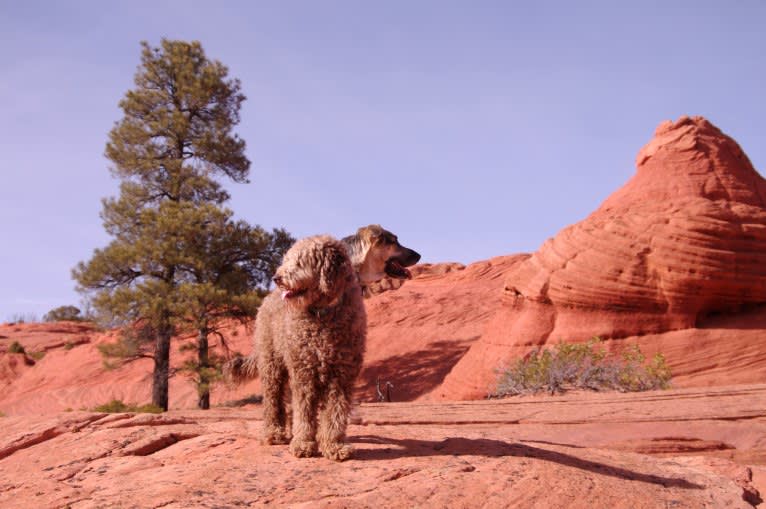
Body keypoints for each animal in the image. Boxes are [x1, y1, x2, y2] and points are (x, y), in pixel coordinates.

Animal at [250, 236, 364, 458]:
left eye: (300, 262)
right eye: (286, 259)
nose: (277, 277)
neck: (322, 315)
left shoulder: (341, 375)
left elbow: (335, 413)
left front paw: (334, 446)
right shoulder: (304, 372)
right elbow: (304, 413)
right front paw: (303, 444)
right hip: (271, 364)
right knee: (272, 400)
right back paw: (274, 433)